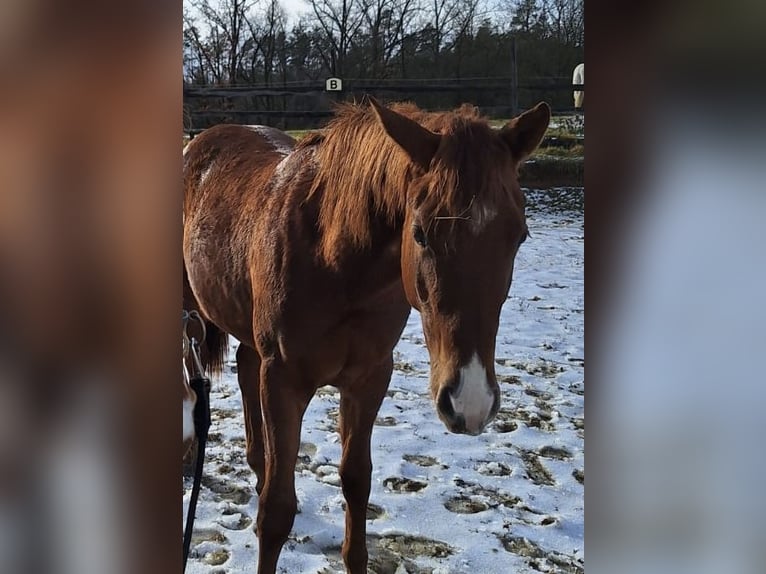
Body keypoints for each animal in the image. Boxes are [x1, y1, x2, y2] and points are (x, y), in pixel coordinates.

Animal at [182, 97, 548, 572]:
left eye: (519, 236)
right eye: (420, 233)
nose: (471, 402)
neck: (335, 259)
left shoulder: (369, 378)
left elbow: (356, 482)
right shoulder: (284, 380)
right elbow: (276, 512)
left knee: (246, 372)